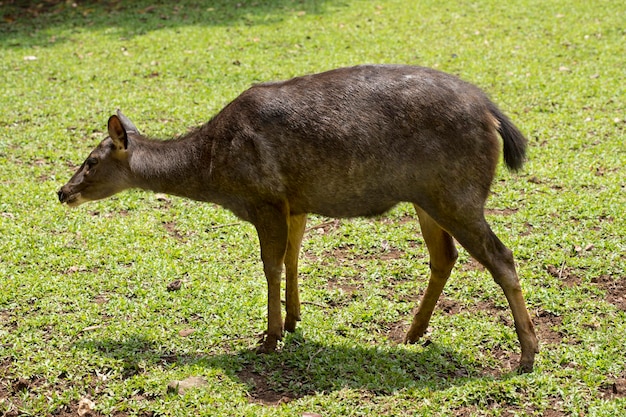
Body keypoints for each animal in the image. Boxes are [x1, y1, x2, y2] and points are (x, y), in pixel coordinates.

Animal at [57, 64, 536, 370]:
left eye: (91, 161)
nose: (62, 191)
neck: (214, 169)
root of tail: (494, 115)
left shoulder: (264, 197)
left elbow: (270, 263)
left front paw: (268, 338)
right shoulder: (295, 201)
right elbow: (292, 256)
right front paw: (293, 320)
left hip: (457, 193)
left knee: (501, 256)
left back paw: (527, 354)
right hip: (428, 197)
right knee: (445, 256)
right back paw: (412, 333)